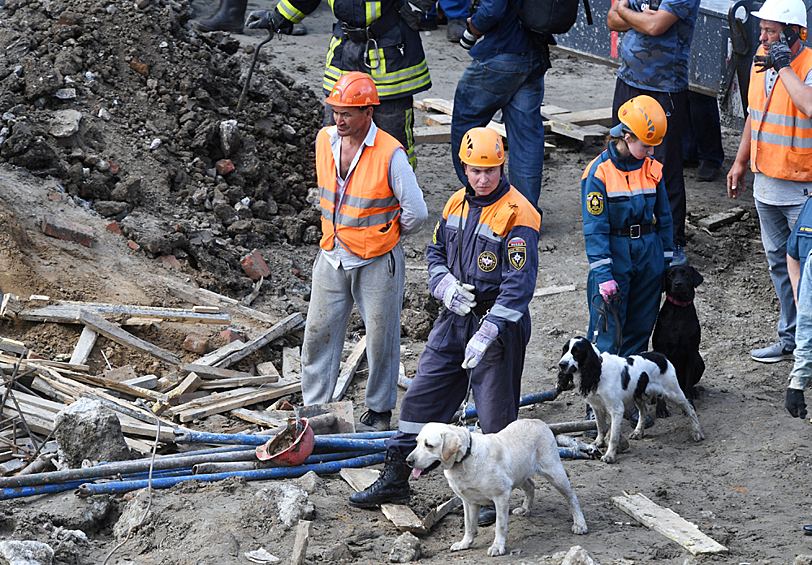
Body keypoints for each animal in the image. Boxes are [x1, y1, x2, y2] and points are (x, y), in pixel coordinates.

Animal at [410, 418, 588, 556]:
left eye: (429, 445)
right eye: (416, 442)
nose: (408, 460)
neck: (465, 458)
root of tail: (539, 422)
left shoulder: (501, 496)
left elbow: (500, 526)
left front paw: (497, 547)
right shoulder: (469, 501)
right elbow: (469, 525)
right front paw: (464, 543)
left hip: (555, 473)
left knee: (572, 497)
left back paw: (580, 524)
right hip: (519, 474)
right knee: (531, 485)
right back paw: (525, 509)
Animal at [560, 334, 704, 462]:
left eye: (576, 352)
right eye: (565, 349)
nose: (561, 364)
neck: (598, 371)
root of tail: (662, 357)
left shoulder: (616, 409)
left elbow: (613, 436)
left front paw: (609, 456)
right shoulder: (596, 406)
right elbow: (600, 427)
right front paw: (598, 443)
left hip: (674, 392)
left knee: (690, 408)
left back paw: (697, 432)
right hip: (638, 394)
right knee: (644, 411)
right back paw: (638, 432)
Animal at [652, 262, 704, 408]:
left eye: (686, 274)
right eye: (670, 275)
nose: (678, 284)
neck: (679, 310)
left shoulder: (691, 353)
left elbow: (688, 384)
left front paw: (690, 403)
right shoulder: (661, 350)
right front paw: (661, 408)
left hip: (699, 362)